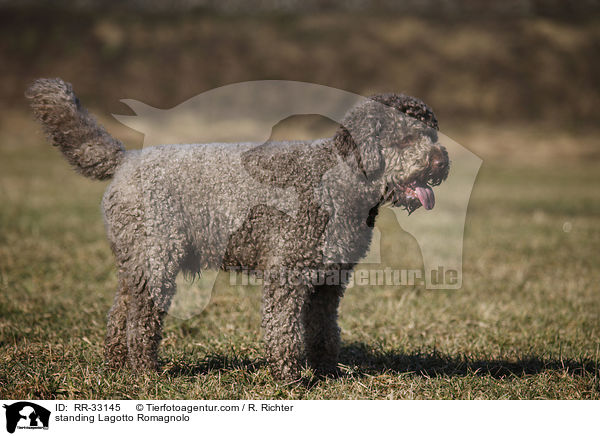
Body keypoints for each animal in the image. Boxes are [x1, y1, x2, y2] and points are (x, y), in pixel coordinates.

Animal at [27, 80, 450, 380]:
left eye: (432, 134)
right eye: (405, 138)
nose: (440, 160)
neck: (338, 179)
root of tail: (125, 159)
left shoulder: (329, 280)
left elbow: (324, 330)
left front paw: (327, 373)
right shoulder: (287, 272)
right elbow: (283, 328)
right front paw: (289, 378)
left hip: (135, 260)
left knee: (120, 311)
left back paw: (118, 367)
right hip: (157, 256)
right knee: (142, 319)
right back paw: (146, 372)